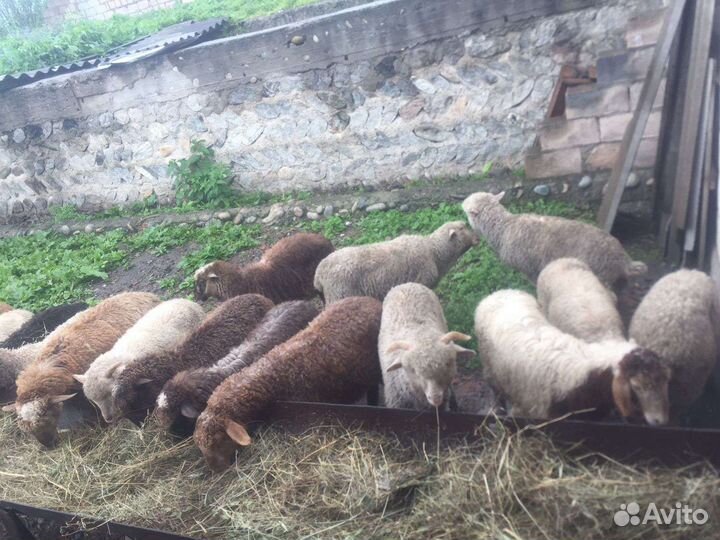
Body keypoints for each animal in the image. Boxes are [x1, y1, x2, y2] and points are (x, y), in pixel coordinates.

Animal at [314, 221, 478, 304]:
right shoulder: (422, 281)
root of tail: (319, 273)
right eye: (463, 228)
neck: (434, 251)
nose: (478, 238)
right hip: (339, 295)